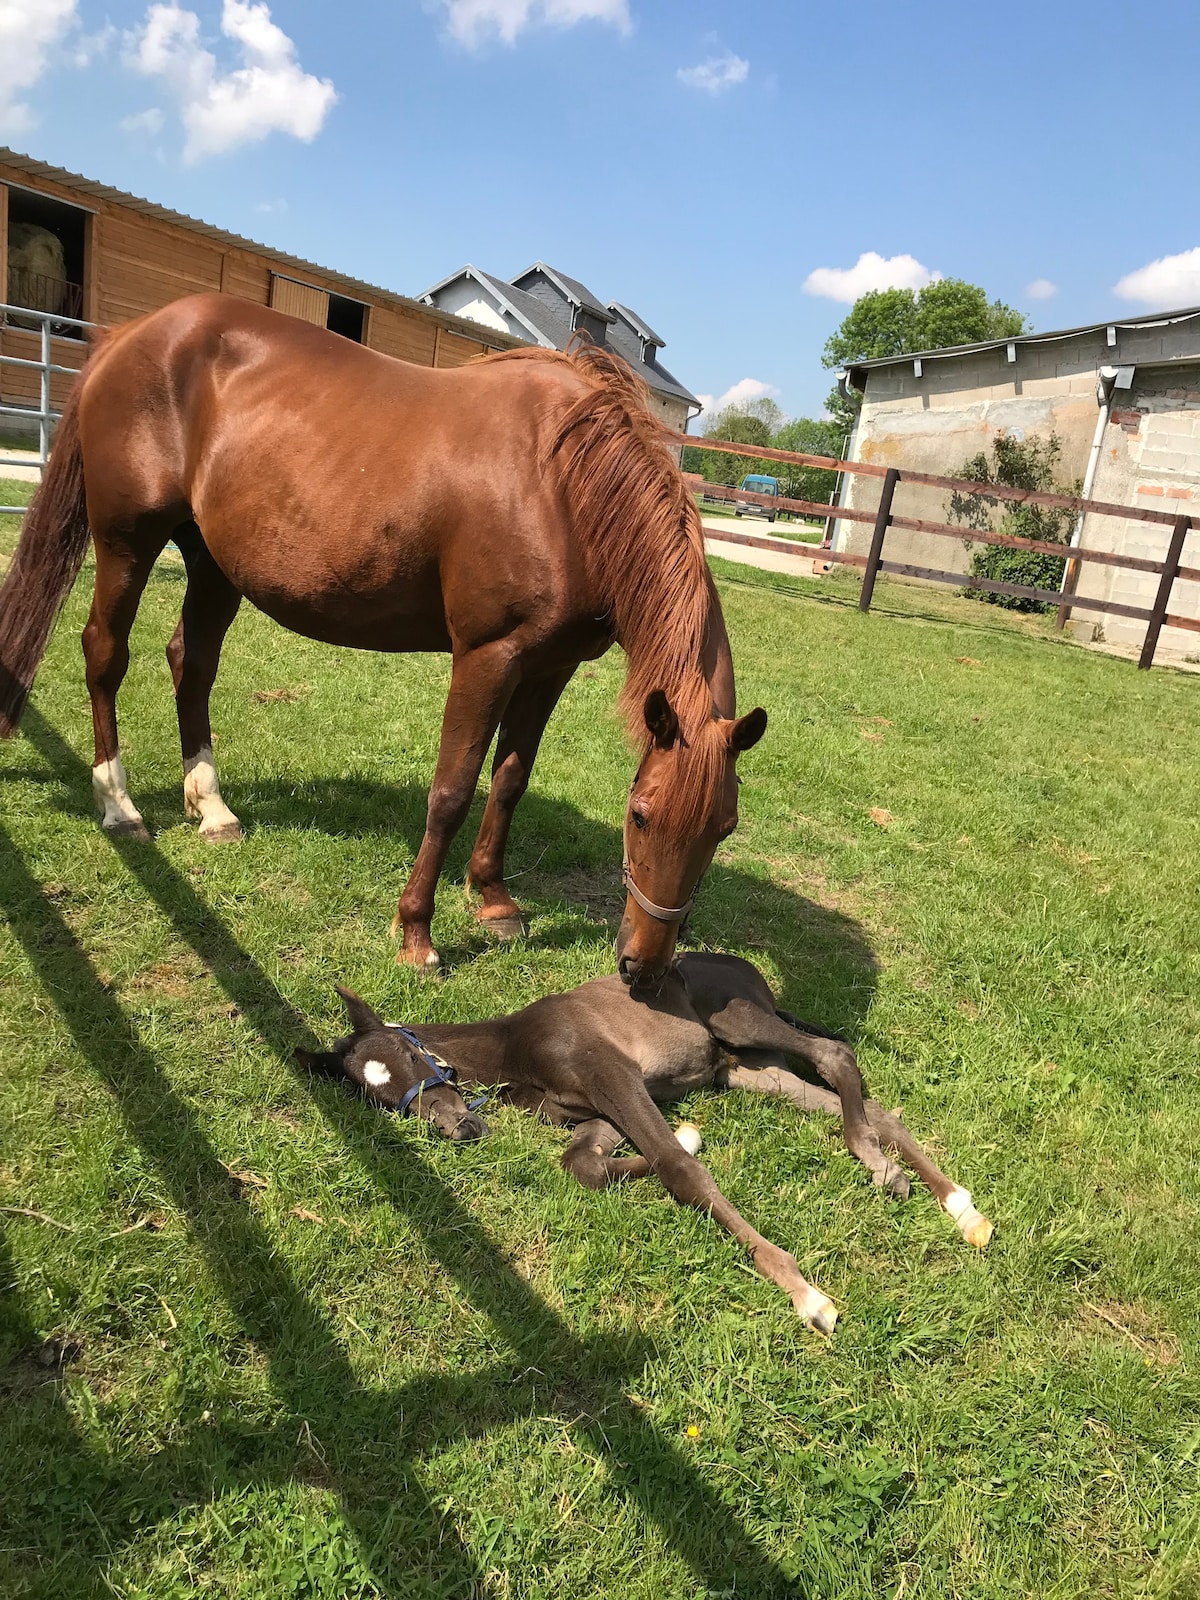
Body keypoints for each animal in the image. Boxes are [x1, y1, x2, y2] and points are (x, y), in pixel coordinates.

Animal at [300, 953, 998, 1331]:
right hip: (745, 1068)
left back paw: (884, 1164)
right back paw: (948, 1200)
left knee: (837, 1054)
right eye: (377, 1100)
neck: (516, 1049)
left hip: (739, 1021)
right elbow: (584, 1164)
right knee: (875, 1106)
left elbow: (676, 1169)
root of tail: (747, 969)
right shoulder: (597, 1106)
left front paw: (807, 1296)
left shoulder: (614, 1075)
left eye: (403, 1059)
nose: (459, 1128)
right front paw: (689, 1132)